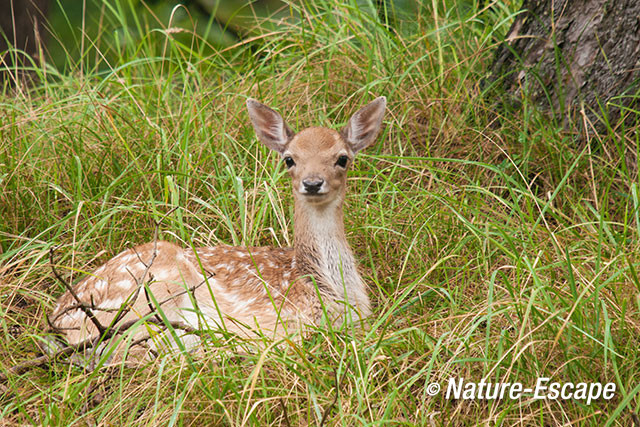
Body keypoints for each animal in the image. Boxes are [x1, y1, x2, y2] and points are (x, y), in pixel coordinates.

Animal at [47, 97, 384, 364]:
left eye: (342, 158)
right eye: (289, 159)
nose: (312, 183)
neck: (322, 286)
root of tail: (57, 324)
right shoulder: (277, 320)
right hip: (146, 292)